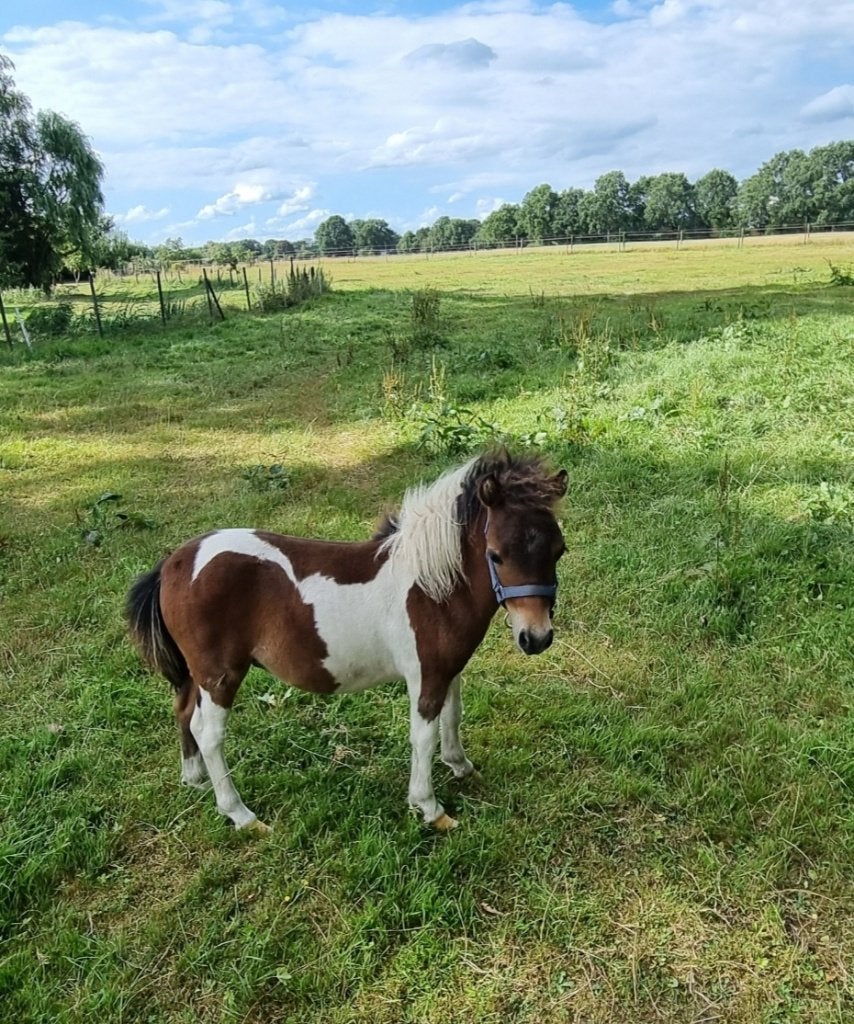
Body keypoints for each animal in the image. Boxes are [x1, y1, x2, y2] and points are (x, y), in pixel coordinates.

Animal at [126, 450, 567, 833]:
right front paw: (430, 808)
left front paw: (461, 766)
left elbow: (452, 716)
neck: (430, 587)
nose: (536, 637)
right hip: (220, 675)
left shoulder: (448, 669)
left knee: (184, 712)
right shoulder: (424, 676)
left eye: (559, 550)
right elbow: (422, 736)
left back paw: (196, 780)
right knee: (209, 733)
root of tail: (173, 564)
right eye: (496, 555)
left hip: (196, 674)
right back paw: (242, 815)